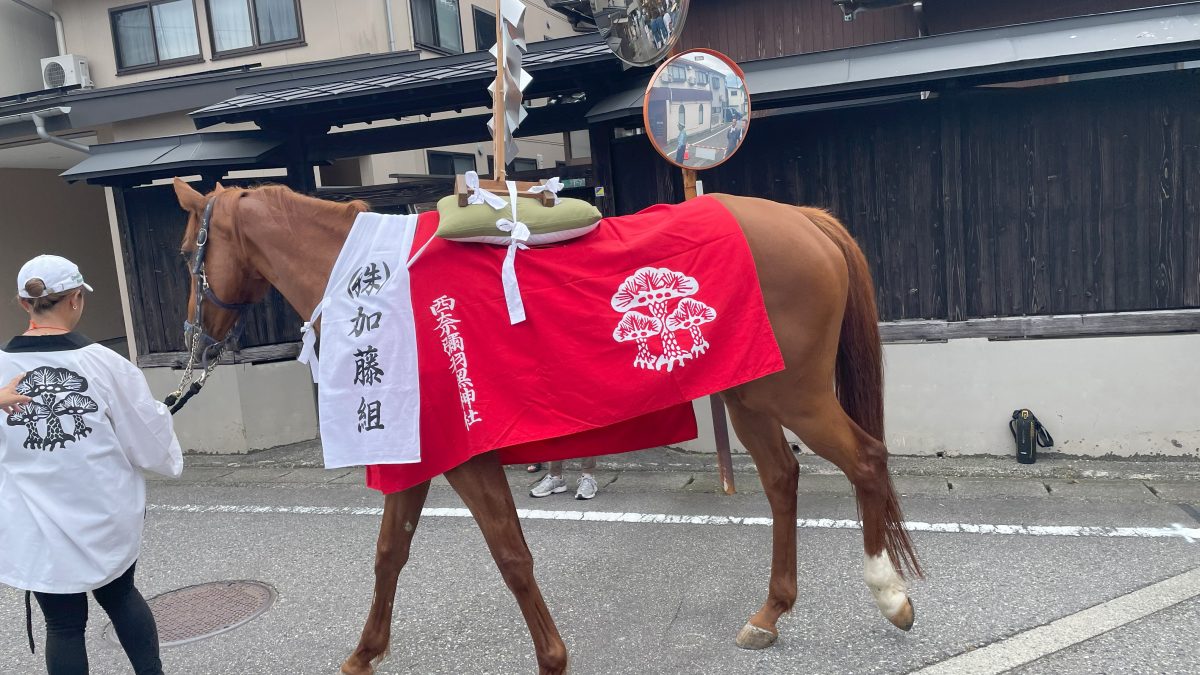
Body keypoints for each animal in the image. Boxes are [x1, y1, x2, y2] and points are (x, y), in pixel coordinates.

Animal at [169, 176, 916, 667]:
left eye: (183, 253)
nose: (194, 341)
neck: (379, 294)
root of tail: (804, 218)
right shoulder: (419, 453)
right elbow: (389, 554)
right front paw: (365, 651)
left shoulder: (467, 456)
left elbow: (511, 555)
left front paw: (551, 655)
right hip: (750, 393)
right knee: (784, 479)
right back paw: (770, 613)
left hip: (794, 393)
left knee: (866, 460)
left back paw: (889, 592)